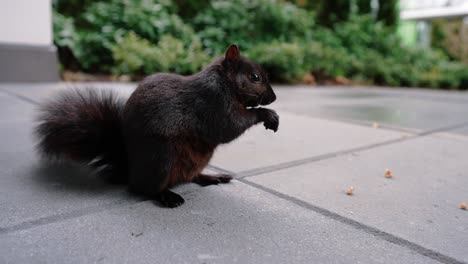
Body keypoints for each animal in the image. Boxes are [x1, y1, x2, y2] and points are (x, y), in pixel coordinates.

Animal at [37, 44, 278, 207]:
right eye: (254, 77)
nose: (274, 97)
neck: (225, 83)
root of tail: (130, 169)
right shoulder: (213, 102)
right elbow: (229, 127)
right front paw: (267, 114)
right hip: (161, 157)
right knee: (144, 188)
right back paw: (167, 196)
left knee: (189, 177)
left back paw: (211, 177)